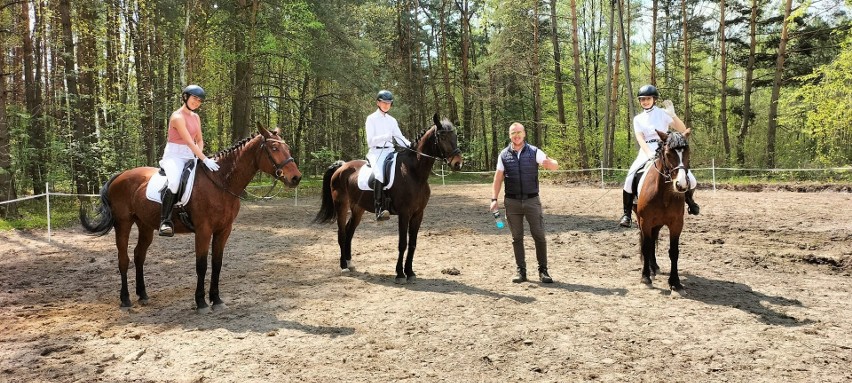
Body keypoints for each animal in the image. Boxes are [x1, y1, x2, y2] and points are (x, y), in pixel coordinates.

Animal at [77, 125, 302, 312]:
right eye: (274, 148)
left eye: (287, 147)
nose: (296, 178)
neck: (221, 182)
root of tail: (120, 176)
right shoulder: (203, 230)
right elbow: (201, 265)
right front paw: (201, 302)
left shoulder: (223, 230)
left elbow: (217, 263)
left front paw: (216, 300)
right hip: (123, 223)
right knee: (123, 259)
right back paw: (125, 300)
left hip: (145, 225)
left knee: (139, 255)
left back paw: (143, 295)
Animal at [312, 112, 462, 284]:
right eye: (442, 137)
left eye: (455, 136)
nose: (458, 163)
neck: (414, 173)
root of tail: (342, 166)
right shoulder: (404, 213)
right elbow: (402, 243)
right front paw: (400, 274)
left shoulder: (418, 214)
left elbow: (413, 243)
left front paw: (410, 272)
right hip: (341, 204)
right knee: (342, 233)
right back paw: (343, 266)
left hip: (358, 208)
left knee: (349, 232)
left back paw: (350, 263)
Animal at [632, 130, 692, 292]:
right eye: (668, 153)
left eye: (687, 152)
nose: (681, 185)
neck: (663, 192)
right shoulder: (645, 221)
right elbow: (646, 247)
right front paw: (645, 277)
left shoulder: (676, 224)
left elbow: (674, 251)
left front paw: (675, 282)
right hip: (643, 221)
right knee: (648, 242)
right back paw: (650, 271)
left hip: (657, 224)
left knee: (653, 240)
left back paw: (654, 267)